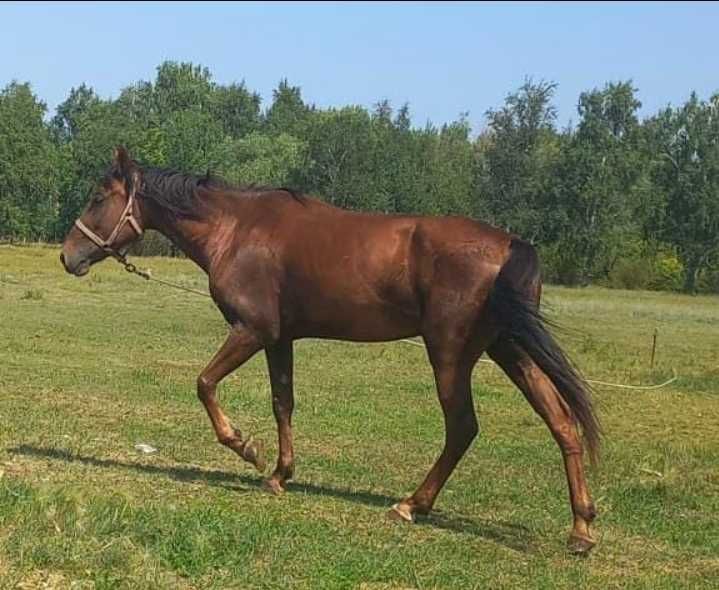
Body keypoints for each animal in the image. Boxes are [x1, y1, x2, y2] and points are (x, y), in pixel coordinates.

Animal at [60, 147, 601, 553]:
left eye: (97, 197)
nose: (68, 256)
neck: (236, 230)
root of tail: (511, 244)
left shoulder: (251, 330)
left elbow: (204, 383)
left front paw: (246, 448)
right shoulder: (279, 339)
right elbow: (283, 402)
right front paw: (280, 474)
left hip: (452, 354)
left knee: (463, 427)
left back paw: (412, 504)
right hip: (509, 349)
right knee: (561, 421)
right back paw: (582, 527)